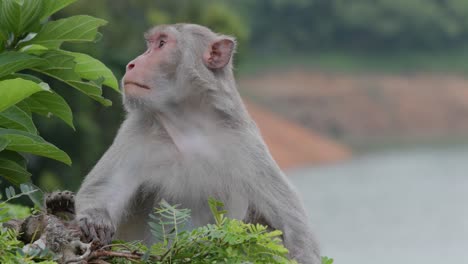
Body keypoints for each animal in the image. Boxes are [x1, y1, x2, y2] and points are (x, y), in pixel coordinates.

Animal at [75, 23, 320, 262]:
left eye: (161, 44)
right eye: (151, 44)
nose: (131, 64)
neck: (188, 126)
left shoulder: (246, 144)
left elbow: (292, 226)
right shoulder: (135, 133)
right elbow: (102, 193)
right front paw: (95, 221)